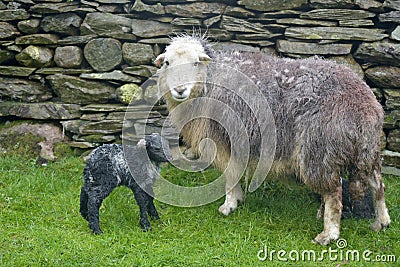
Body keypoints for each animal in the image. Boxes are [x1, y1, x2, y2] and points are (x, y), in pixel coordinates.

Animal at [154, 35, 390, 247]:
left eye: (196, 62)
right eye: (167, 63)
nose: (180, 90)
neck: (212, 81)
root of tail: (365, 106)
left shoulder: (227, 138)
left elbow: (230, 174)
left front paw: (228, 205)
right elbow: (236, 173)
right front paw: (238, 199)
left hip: (320, 150)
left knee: (335, 194)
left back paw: (328, 234)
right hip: (368, 150)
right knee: (377, 183)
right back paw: (381, 222)